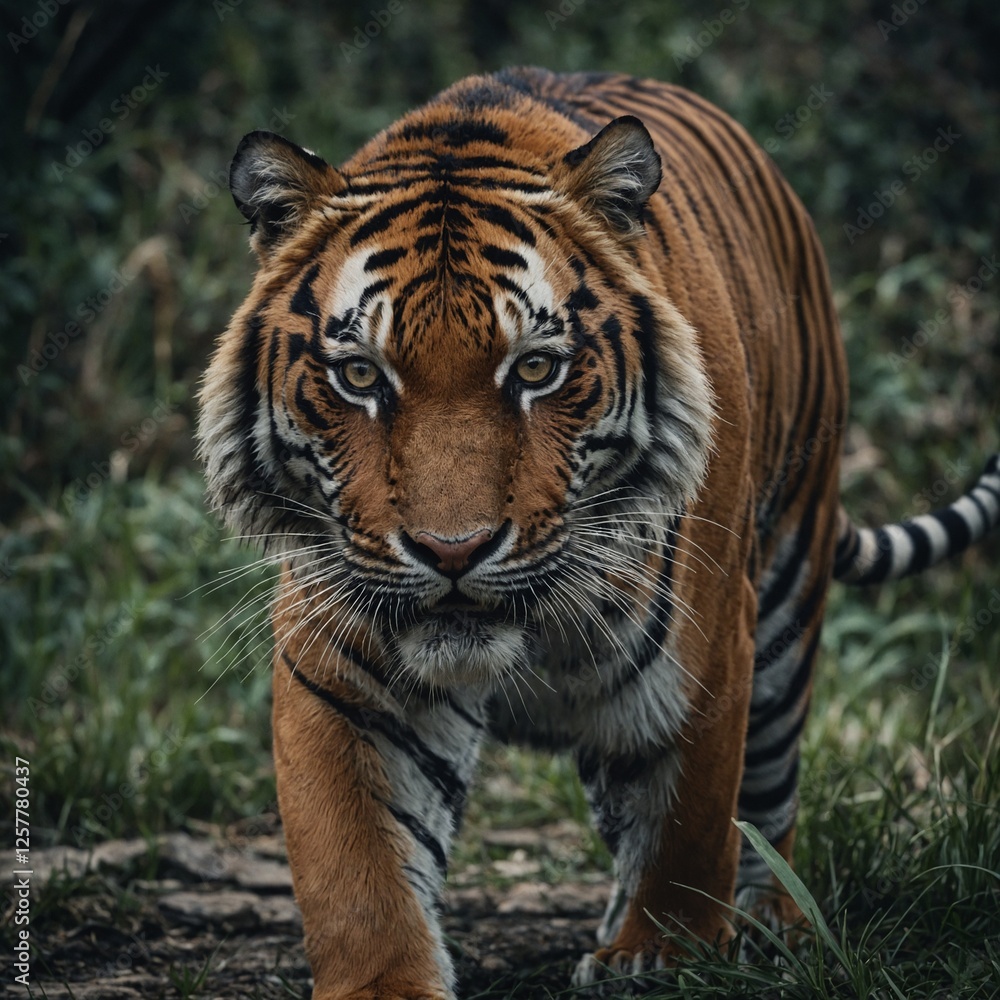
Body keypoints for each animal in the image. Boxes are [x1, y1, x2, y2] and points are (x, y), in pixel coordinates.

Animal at [196, 67, 1000, 998]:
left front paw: (659, 955)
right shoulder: (342, 671)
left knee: (768, 796)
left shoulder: (704, 648)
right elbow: (355, 866)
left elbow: (691, 823)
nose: (452, 552)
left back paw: (773, 922)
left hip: (789, 589)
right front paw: (385, 982)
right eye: (360, 375)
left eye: (537, 369)